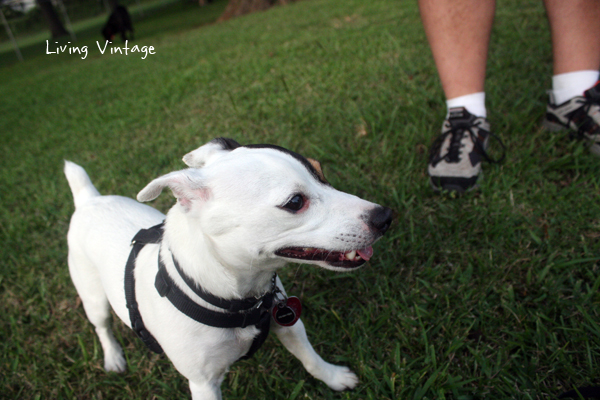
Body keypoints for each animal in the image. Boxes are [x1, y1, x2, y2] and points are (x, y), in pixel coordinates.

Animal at [64, 138, 394, 400]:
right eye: (295, 202)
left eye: (321, 173)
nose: (385, 217)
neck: (239, 297)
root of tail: (89, 200)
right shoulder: (203, 384)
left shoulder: (289, 324)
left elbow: (310, 359)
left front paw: (333, 377)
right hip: (94, 298)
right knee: (102, 326)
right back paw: (113, 357)